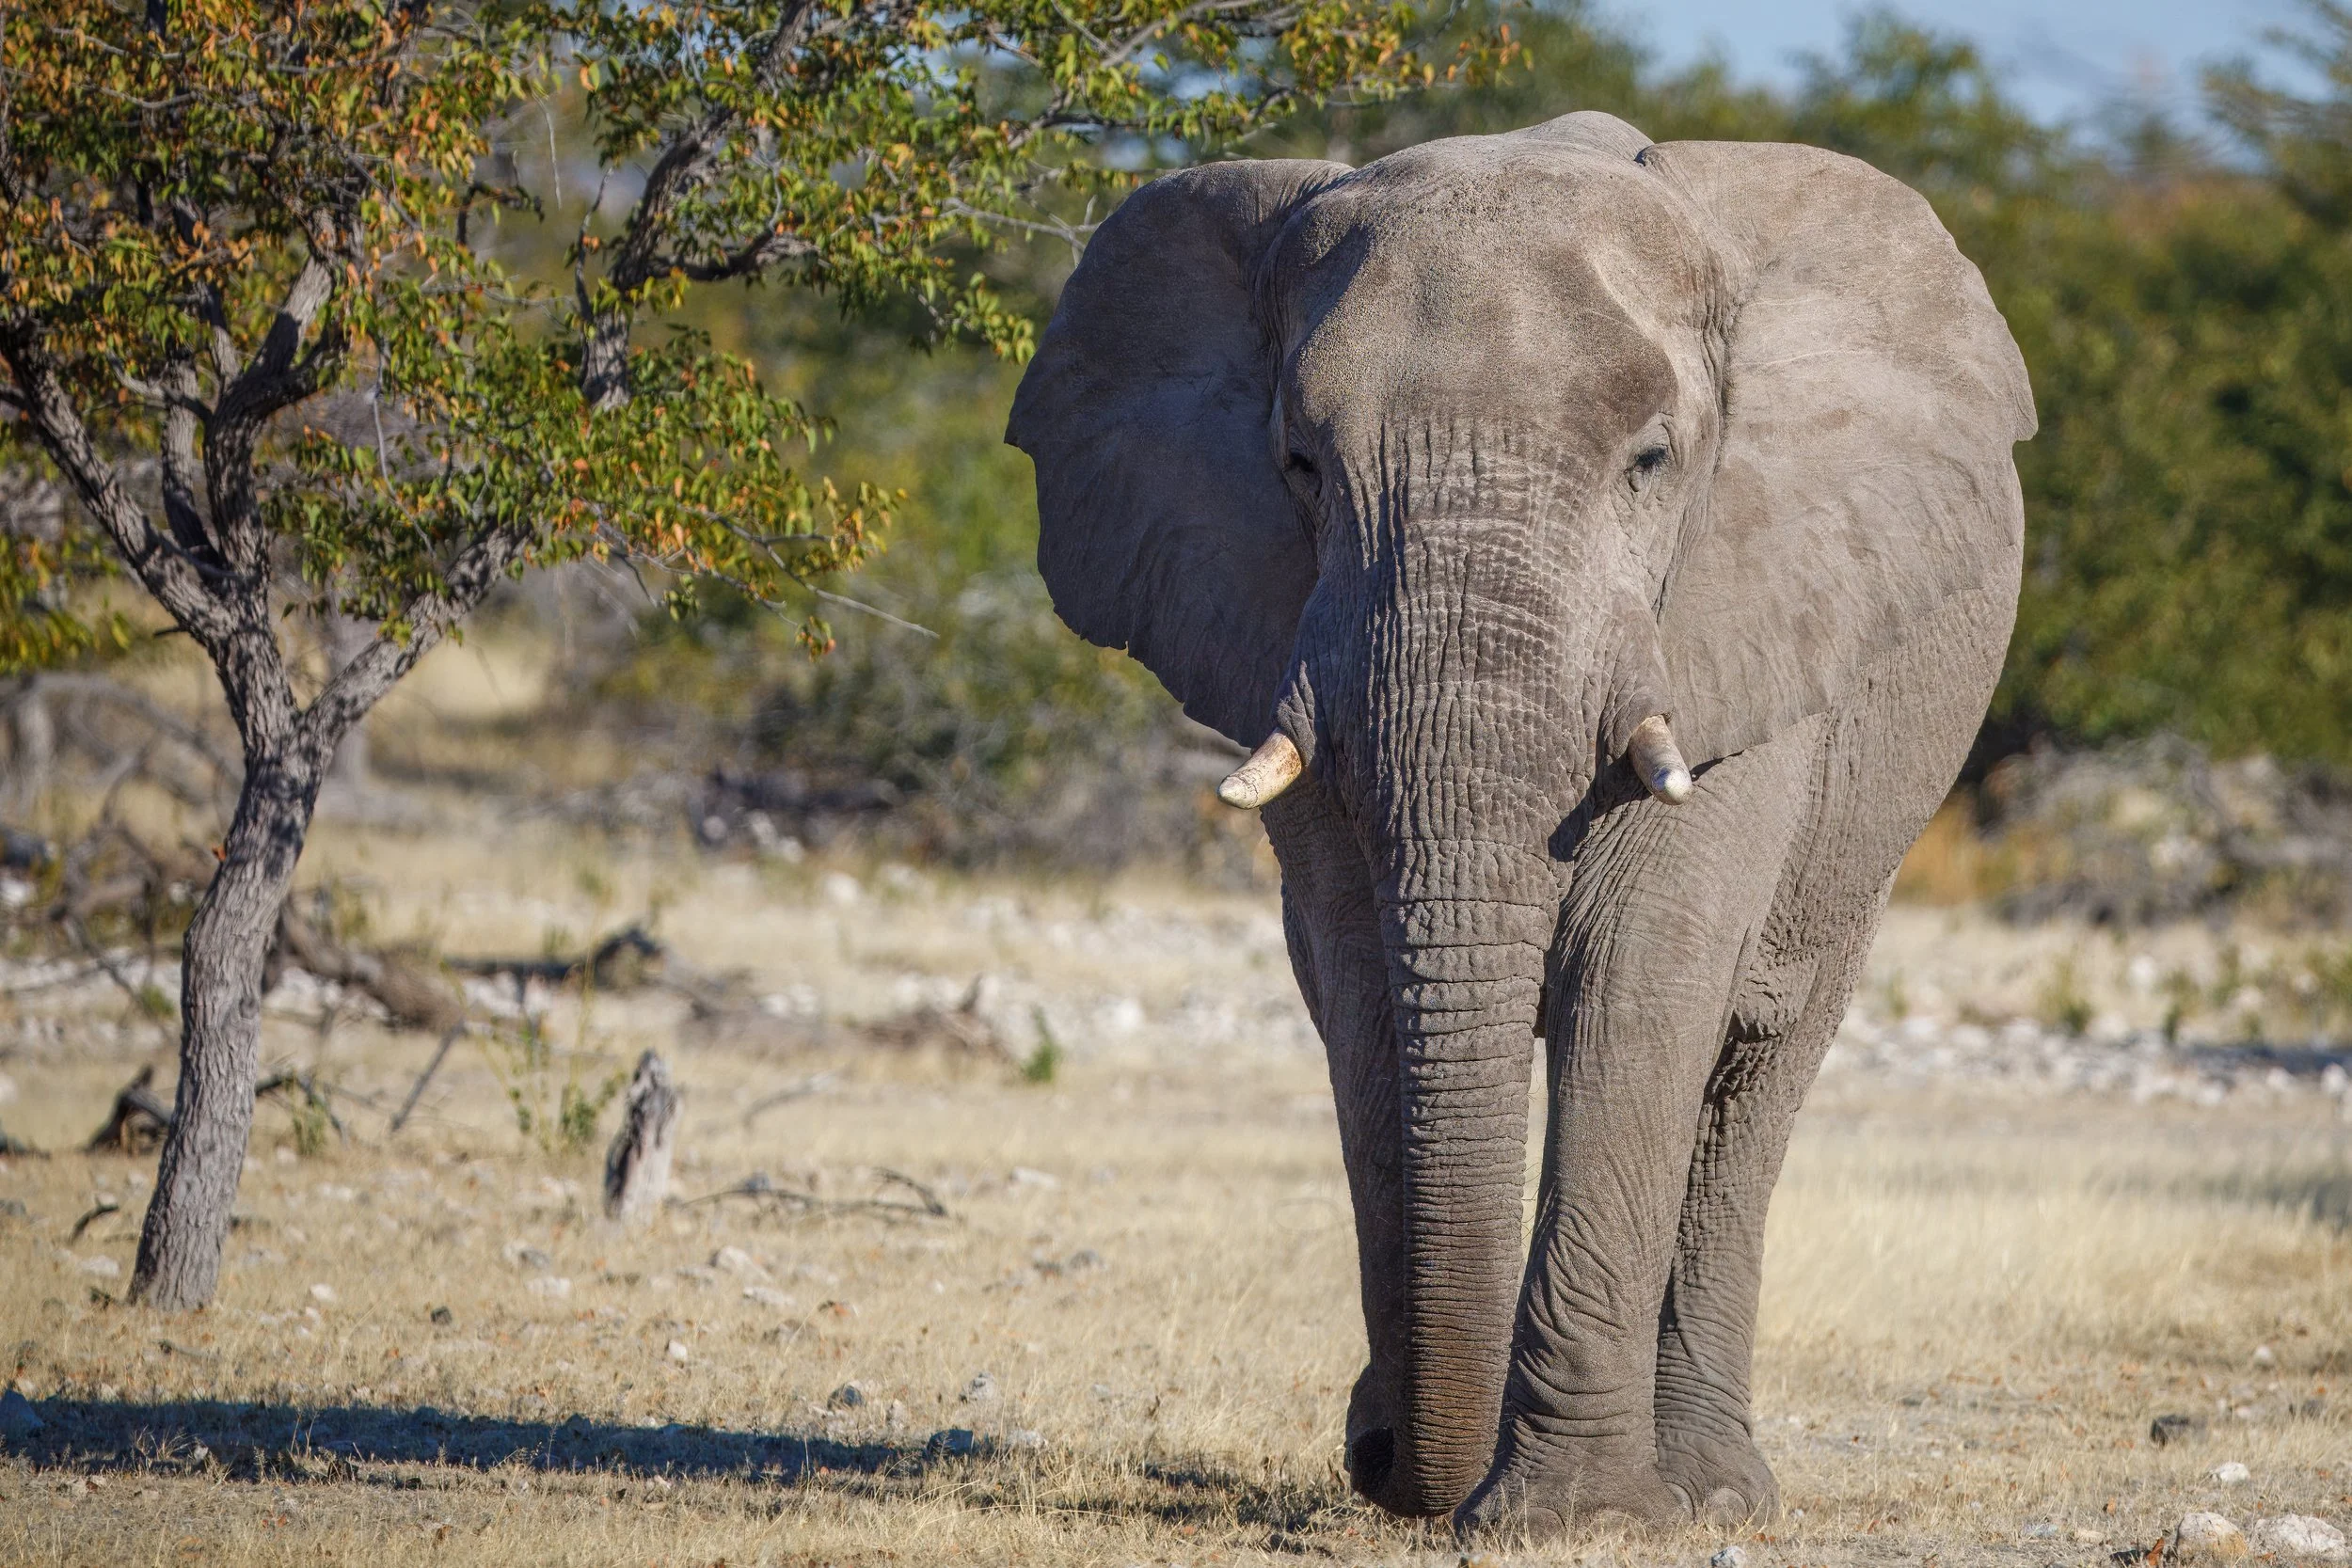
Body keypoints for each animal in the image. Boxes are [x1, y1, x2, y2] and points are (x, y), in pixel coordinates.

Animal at [1005, 110, 2033, 1536]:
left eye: (1650, 462)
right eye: (1300, 465)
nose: (1381, 1461)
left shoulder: (1741, 623)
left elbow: (1643, 979)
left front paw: (1575, 1515)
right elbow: (1361, 986)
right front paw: (1434, 1465)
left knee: (1754, 1071)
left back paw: (1713, 1488)